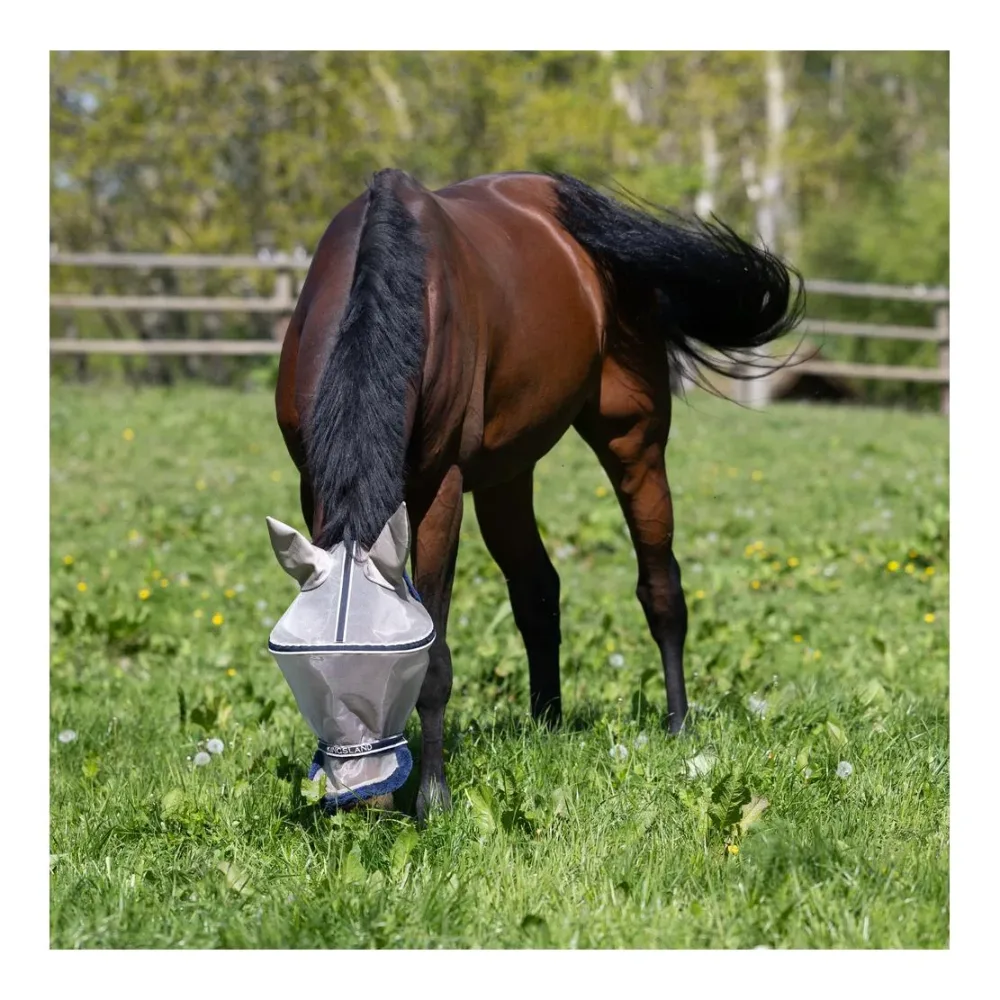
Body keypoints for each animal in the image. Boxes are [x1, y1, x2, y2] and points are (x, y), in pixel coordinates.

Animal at [274, 168, 803, 821]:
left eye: (397, 660)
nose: (364, 794)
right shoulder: (312, 482)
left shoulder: (440, 489)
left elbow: (439, 657)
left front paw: (433, 797)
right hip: (508, 474)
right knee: (537, 586)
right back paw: (546, 723)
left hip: (633, 442)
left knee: (661, 586)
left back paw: (678, 724)